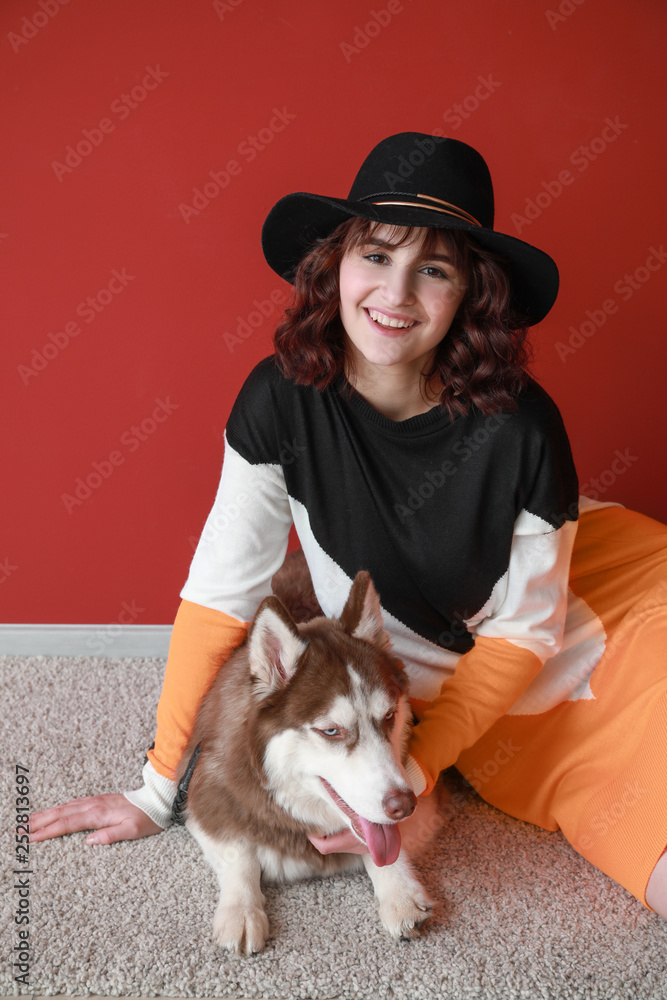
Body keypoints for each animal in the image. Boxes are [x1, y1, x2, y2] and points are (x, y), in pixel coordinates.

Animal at [176, 552, 444, 956]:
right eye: (331, 731)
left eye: (389, 717)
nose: (403, 805)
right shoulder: (203, 790)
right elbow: (239, 853)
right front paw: (241, 909)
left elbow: (386, 845)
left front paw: (400, 892)